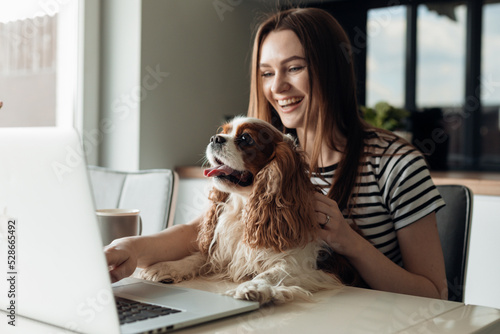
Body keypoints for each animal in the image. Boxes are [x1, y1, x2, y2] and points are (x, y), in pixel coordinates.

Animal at [141, 116, 360, 304]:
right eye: (223, 132)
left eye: (246, 139)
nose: (215, 138)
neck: (245, 207)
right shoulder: (224, 251)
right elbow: (198, 257)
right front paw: (167, 266)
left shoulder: (305, 265)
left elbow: (273, 273)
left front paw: (253, 287)